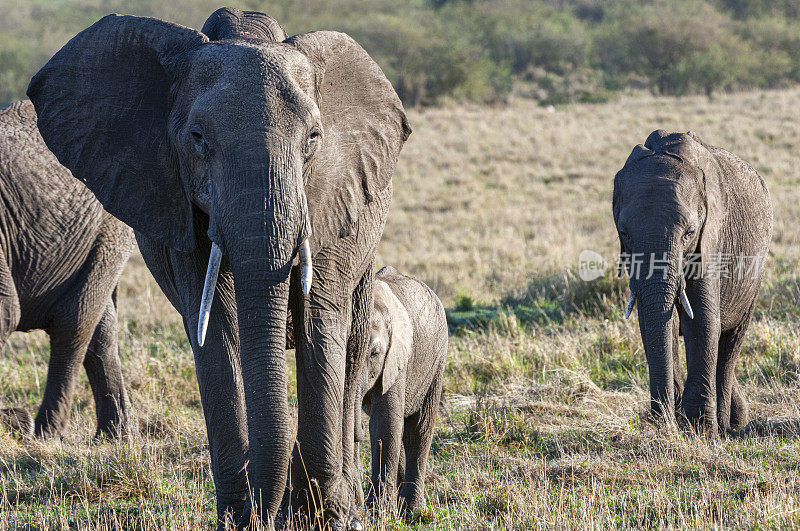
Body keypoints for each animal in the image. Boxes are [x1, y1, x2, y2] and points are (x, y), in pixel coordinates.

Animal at [28, 6, 410, 528]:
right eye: (197, 138)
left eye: (314, 138)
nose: (263, 512)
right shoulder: (174, 203)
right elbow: (216, 332)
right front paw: (239, 519)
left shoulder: (332, 195)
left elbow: (320, 324)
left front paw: (326, 520)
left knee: (349, 350)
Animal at [356, 268, 450, 512]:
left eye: (374, 353)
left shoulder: (398, 356)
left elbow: (385, 420)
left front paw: (377, 512)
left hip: (438, 359)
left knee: (418, 428)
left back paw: (412, 510)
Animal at [612, 130, 776, 436]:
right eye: (624, 233)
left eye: (689, 233)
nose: (661, 423)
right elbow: (655, 320)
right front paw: (670, 424)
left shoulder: (712, 238)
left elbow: (701, 321)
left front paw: (699, 430)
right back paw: (736, 419)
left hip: (755, 273)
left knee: (731, 343)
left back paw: (727, 426)